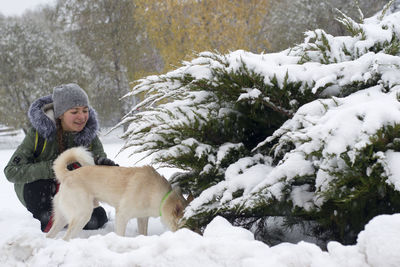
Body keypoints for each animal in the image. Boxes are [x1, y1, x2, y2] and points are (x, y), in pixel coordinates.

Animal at [46, 148, 191, 242]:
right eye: (189, 226)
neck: (160, 196)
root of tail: (68, 174)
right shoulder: (122, 216)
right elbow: (120, 235)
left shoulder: (143, 217)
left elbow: (143, 233)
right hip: (83, 215)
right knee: (66, 237)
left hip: (63, 218)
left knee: (50, 235)